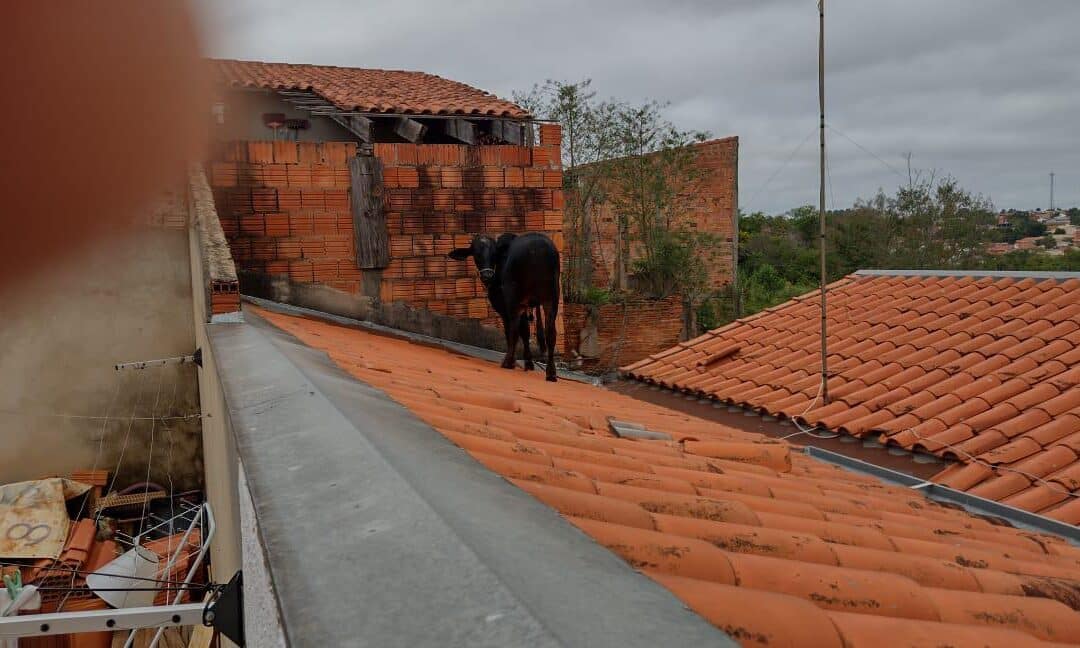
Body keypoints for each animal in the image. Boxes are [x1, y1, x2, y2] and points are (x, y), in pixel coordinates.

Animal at [449, 231, 561, 380]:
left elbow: (513, 331)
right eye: (476, 253)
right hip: (552, 298)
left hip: (514, 298)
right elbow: (525, 332)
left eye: (494, 253)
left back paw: (508, 362)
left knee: (513, 328)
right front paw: (529, 363)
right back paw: (551, 372)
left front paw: (519, 361)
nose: (487, 275)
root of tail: (537, 246)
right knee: (550, 332)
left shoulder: (505, 306)